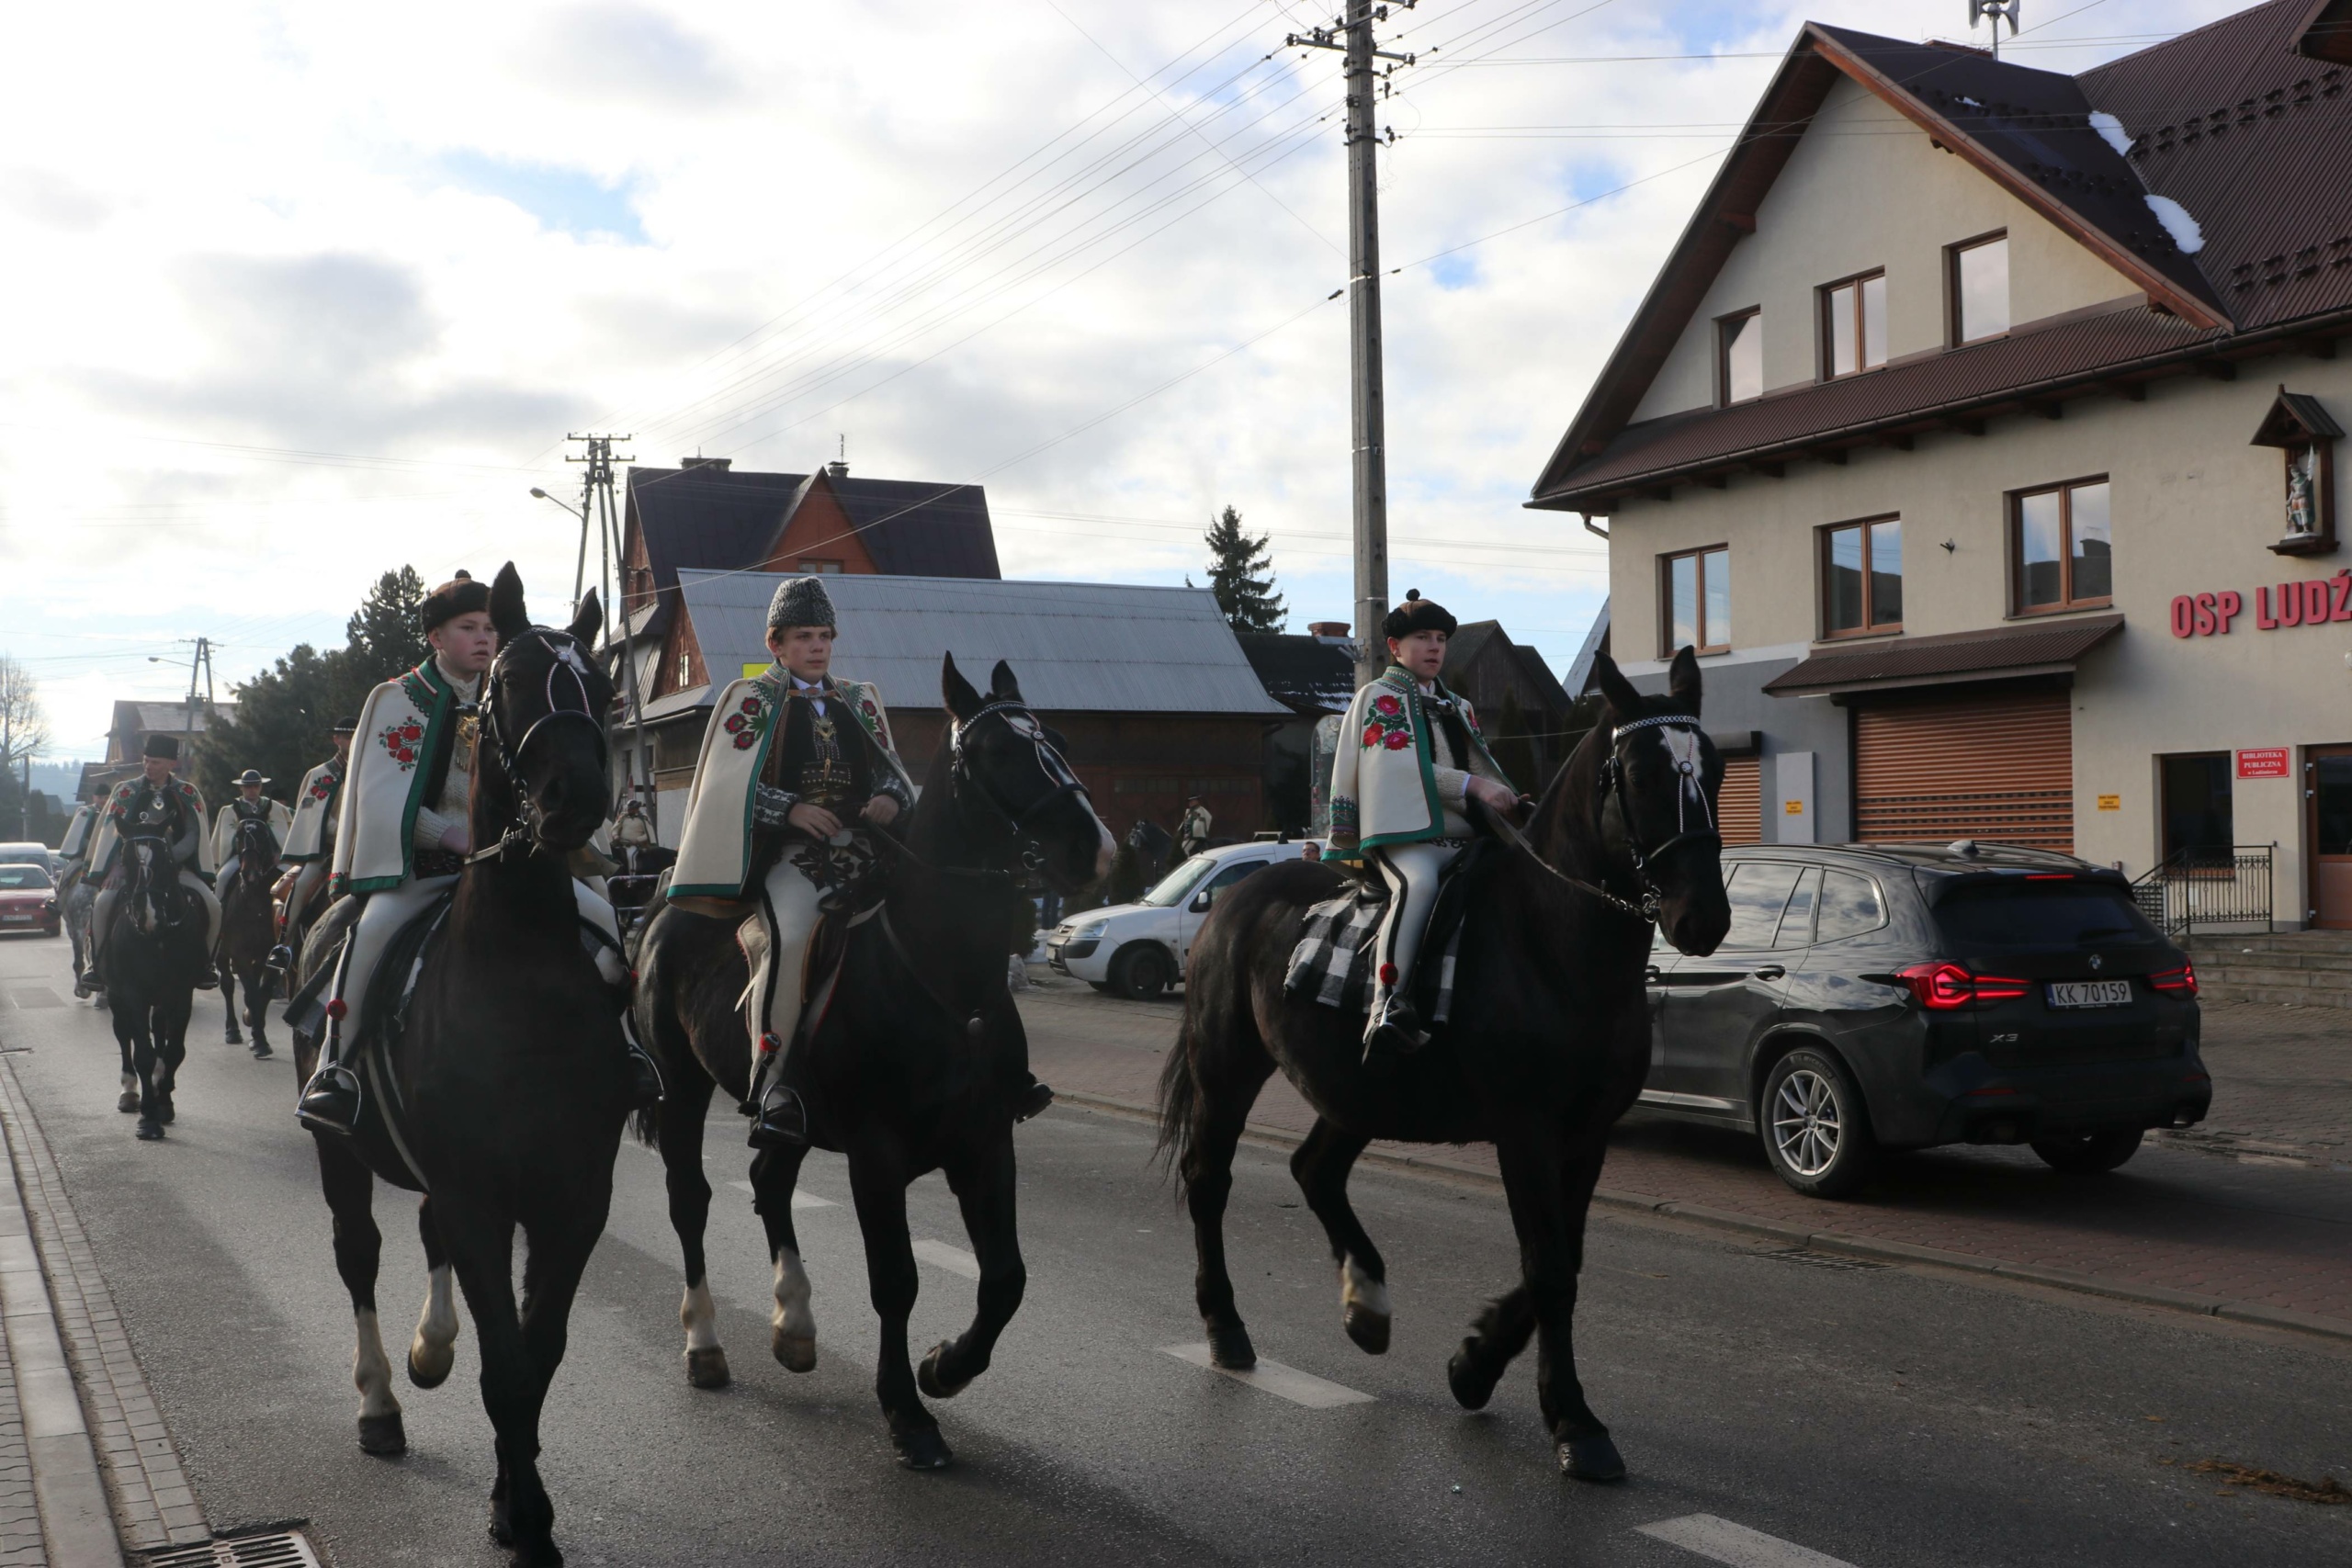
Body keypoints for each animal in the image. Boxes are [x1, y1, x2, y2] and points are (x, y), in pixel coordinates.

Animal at [100, 789, 210, 1140]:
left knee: (159, 1032)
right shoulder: (133, 994)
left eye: (167, 860)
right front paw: (148, 1117)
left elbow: (174, 1051)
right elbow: (143, 1054)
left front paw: (164, 1103)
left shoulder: (181, 994)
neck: (158, 938)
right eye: (125, 860)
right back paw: (129, 1092)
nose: (147, 916)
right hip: (117, 995)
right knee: (124, 1036)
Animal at [217, 812, 282, 1057]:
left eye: (263, 835)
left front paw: (258, 1034)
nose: (250, 873)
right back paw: (232, 1030)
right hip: (223, 953)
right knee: (227, 984)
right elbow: (250, 994)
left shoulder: (270, 955)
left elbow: (263, 993)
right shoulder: (239, 955)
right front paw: (258, 1037)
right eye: (238, 835)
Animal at [293, 566, 630, 1567]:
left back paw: (429, 1346)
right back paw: (379, 1401)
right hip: (340, 1152)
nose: (572, 800)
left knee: (427, 1241)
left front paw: (515, 1503)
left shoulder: (572, 1198)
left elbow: (535, 1356)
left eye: (602, 686)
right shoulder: (481, 1194)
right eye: (509, 680)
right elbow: (507, 1366)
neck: (519, 977)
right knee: (359, 1255)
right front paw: (527, 1523)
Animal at [632, 653, 1114, 1469]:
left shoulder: (986, 1143)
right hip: (679, 1090)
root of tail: (665, 904)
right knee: (689, 1199)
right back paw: (705, 1343)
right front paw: (908, 1414)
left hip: (782, 1114)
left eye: (1059, 740)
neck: (941, 976)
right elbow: (896, 1280)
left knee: (769, 1179)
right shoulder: (877, 1156)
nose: (1095, 847)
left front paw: (945, 1367)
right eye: (996, 752)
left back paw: (794, 1326)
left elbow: (1006, 1277)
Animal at [1157, 648, 1731, 1481]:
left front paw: (1475, 1363)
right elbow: (1550, 1268)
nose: (1704, 918)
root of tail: (1233, 895)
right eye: (1641, 773)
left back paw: (1366, 1302)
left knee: (1315, 1170)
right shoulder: (1525, 1132)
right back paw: (1227, 1328)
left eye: (1713, 768)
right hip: (1227, 1069)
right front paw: (1575, 1421)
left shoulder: (1586, 1135)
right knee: (1209, 1181)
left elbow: (1563, 1259)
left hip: (1358, 1090)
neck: (1555, 939)